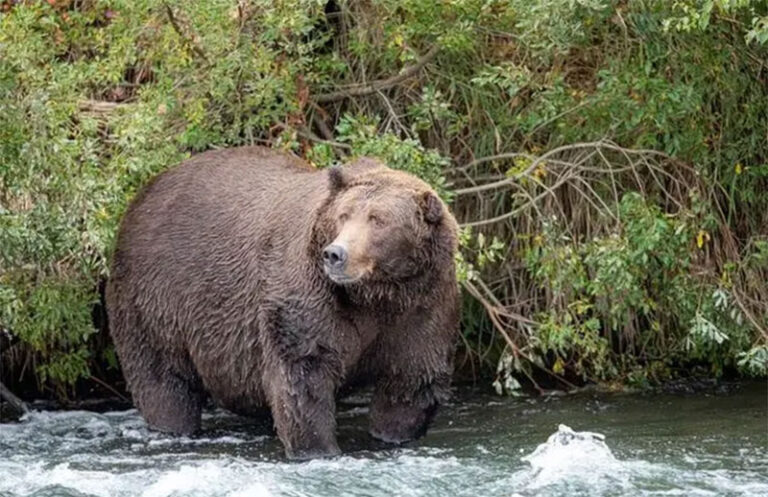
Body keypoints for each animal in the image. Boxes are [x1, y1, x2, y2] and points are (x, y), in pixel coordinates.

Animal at [106, 146, 460, 460]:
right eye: (344, 215)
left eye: (379, 219)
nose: (336, 254)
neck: (376, 295)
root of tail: (143, 193)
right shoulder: (310, 296)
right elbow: (304, 375)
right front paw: (318, 449)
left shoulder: (423, 306)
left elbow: (411, 379)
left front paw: (392, 434)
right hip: (156, 297)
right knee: (163, 378)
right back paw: (172, 425)